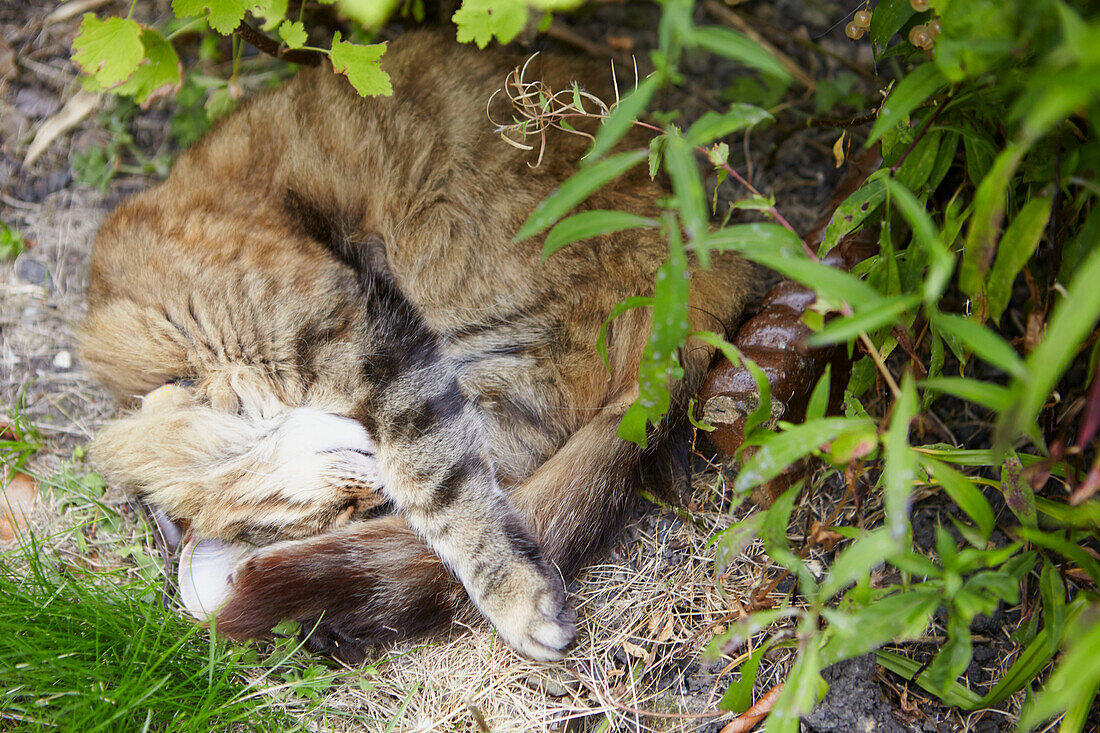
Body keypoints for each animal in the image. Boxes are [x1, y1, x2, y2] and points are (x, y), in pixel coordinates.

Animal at [79, 28, 756, 660]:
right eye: (342, 512)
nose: (369, 494)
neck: (176, 331)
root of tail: (703, 260)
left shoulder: (369, 335)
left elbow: (439, 490)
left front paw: (515, 598)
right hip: (505, 375)